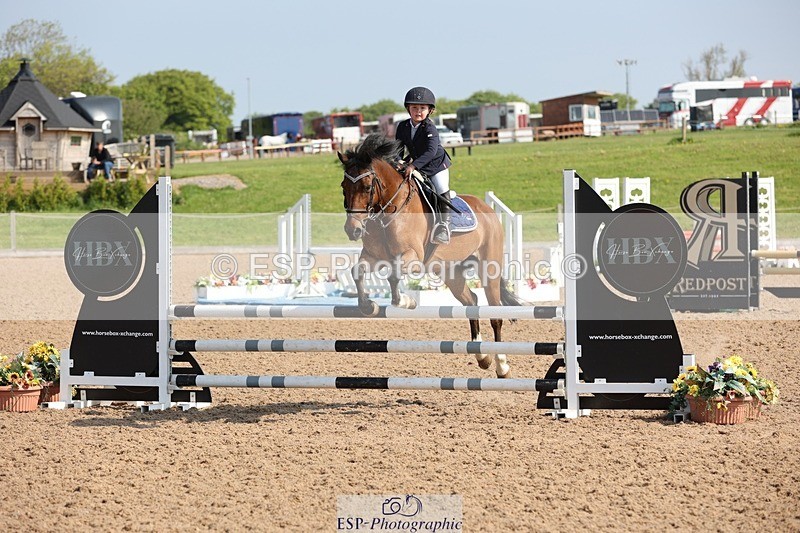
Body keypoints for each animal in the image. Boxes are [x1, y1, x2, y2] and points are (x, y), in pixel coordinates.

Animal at [338, 133, 524, 378]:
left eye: (367, 186)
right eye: (344, 187)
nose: (353, 230)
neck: (390, 210)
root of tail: (488, 209)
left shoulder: (412, 257)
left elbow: (393, 275)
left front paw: (405, 301)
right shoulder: (373, 256)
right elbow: (357, 272)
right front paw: (368, 306)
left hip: (488, 269)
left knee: (495, 313)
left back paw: (501, 365)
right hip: (451, 272)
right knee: (471, 301)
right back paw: (482, 356)